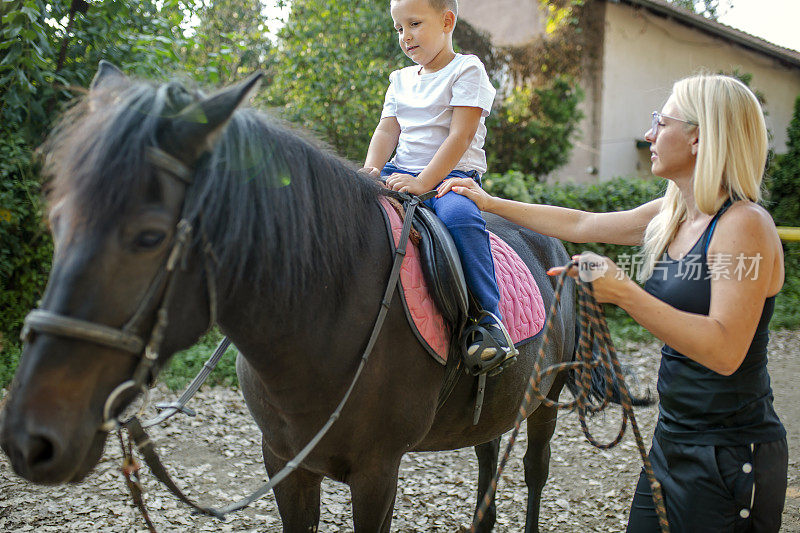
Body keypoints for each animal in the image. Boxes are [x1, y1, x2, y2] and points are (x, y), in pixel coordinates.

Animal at [0, 64, 580, 528]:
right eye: (57, 222)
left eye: (149, 236)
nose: (31, 438)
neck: (329, 317)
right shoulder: (284, 464)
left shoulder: (378, 473)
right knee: (488, 459)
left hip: (548, 398)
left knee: (535, 473)